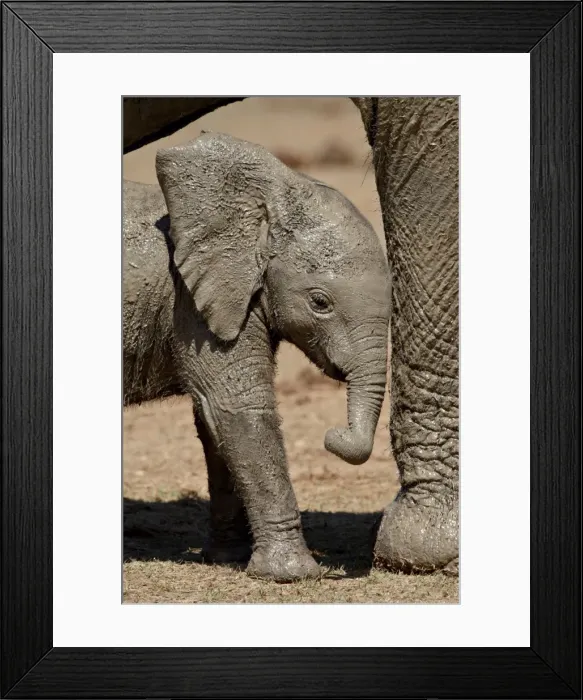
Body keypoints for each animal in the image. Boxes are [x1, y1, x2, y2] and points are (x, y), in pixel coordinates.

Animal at [124, 96, 459, 577]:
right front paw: (294, 575)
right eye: (319, 302)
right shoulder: (191, 306)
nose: (332, 434)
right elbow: (237, 409)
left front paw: (229, 558)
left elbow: (212, 421)